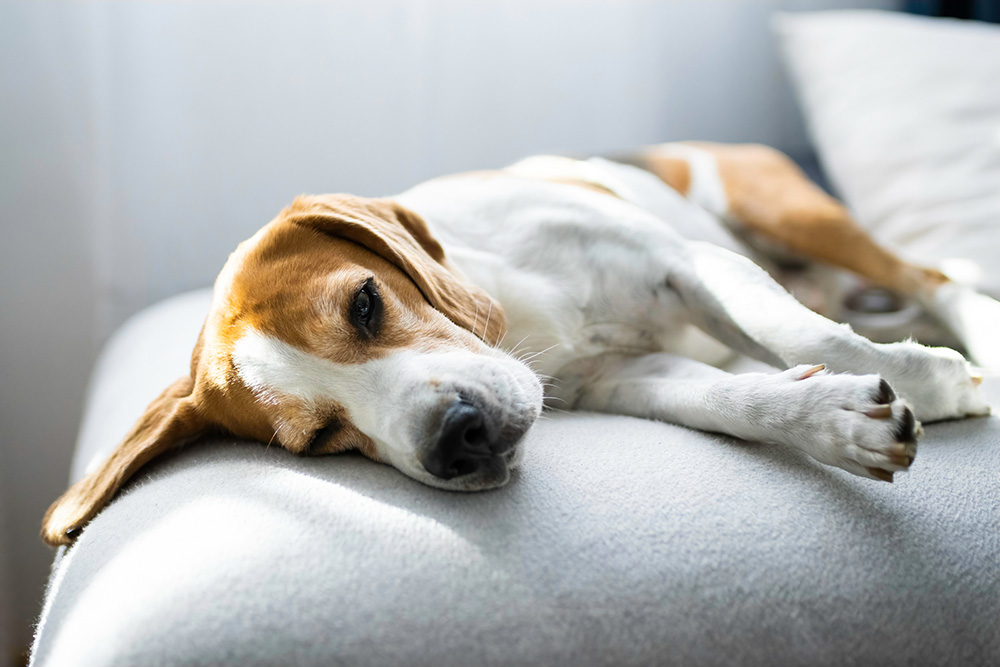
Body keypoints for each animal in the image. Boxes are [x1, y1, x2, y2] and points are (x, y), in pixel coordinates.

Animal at [41, 142, 992, 548]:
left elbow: (798, 330)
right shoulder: (627, 378)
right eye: (320, 441)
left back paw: (975, 328)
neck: (527, 318)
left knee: (929, 276)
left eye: (364, 303)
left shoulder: (690, 263)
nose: (455, 440)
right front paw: (832, 417)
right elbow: (739, 398)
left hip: (784, 211)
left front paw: (933, 381)